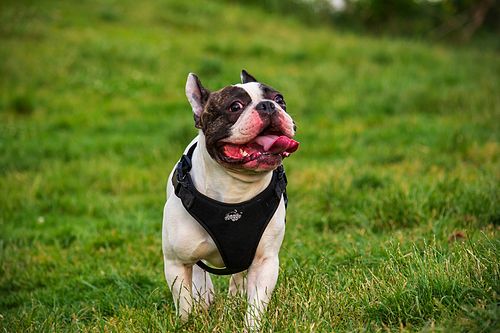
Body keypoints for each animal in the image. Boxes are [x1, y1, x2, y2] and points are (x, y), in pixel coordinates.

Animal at [162, 70, 298, 330]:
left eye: (280, 99)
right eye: (235, 106)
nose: (268, 105)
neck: (236, 188)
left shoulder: (265, 262)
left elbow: (256, 304)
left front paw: (250, 326)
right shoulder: (176, 262)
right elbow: (184, 302)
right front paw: (188, 323)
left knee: (237, 277)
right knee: (200, 276)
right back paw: (205, 297)